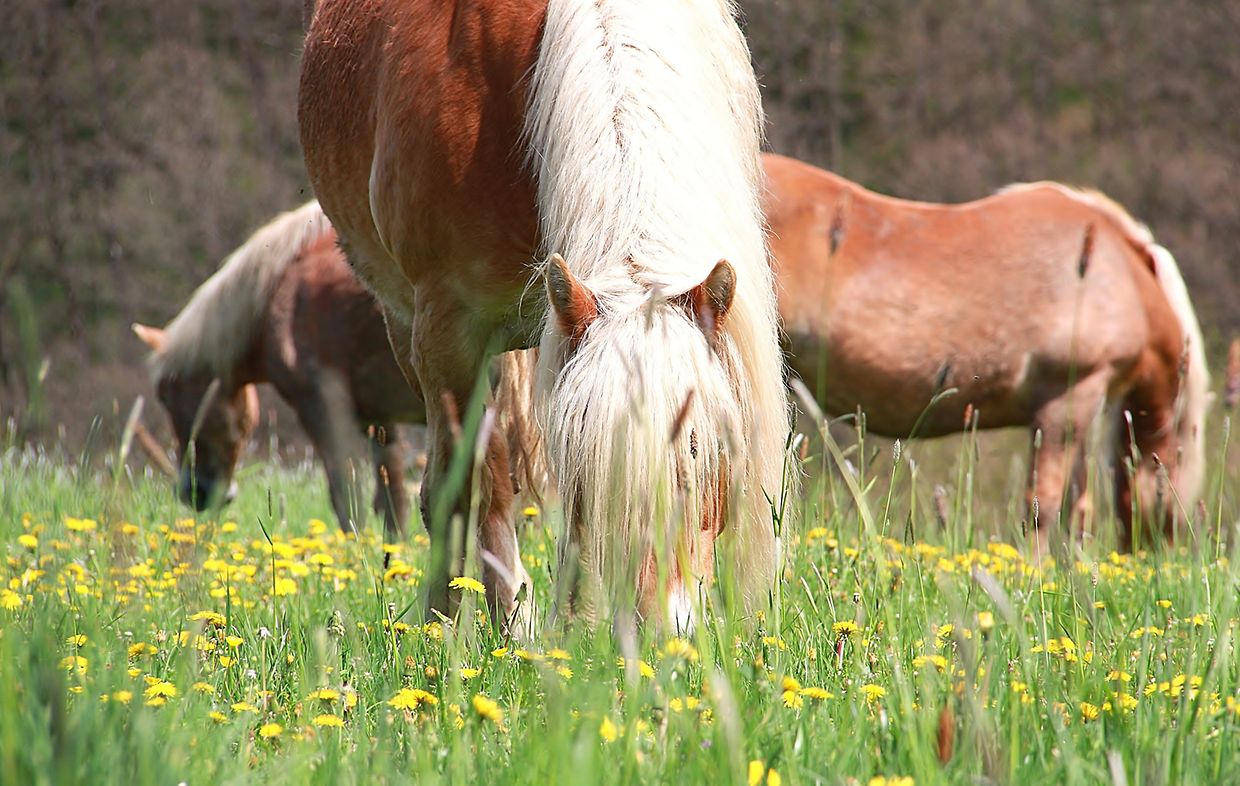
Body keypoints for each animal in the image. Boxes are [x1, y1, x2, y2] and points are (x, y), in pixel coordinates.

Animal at [134, 201, 424, 538]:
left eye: (165, 397)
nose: (194, 493)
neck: (281, 289)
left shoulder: (321, 408)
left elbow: (346, 496)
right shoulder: (379, 418)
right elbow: (392, 499)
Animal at [762, 153, 1209, 553]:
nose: (1156, 556)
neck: (1116, 273)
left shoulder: (1083, 408)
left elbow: (1078, 509)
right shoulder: (1067, 400)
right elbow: (1042, 506)